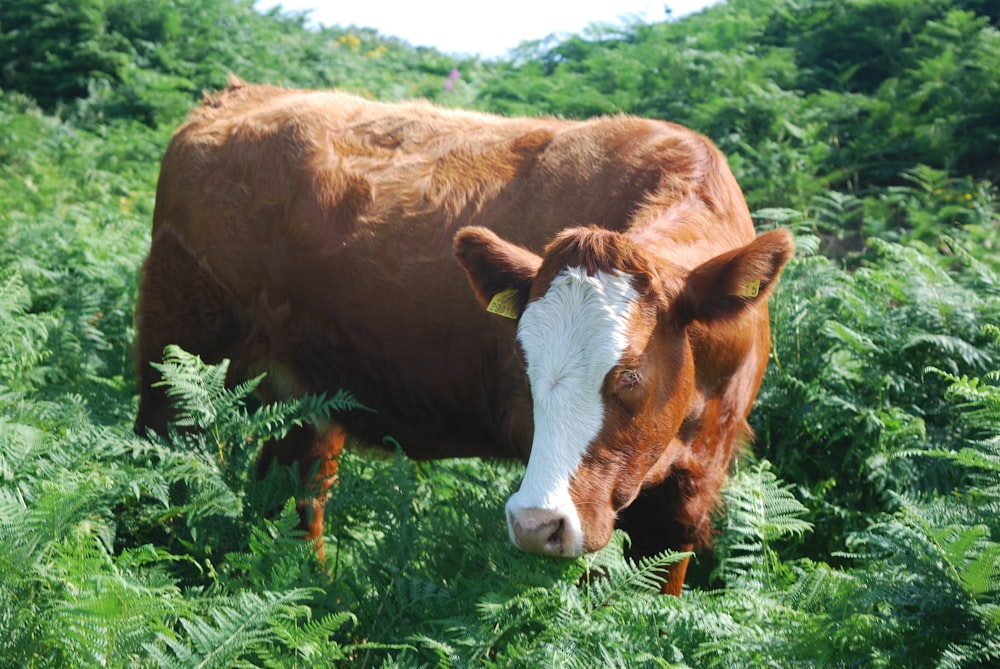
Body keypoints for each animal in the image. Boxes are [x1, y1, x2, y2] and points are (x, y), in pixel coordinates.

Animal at [133, 78, 792, 596]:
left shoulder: (695, 486)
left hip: (304, 396)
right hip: (174, 353)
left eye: (630, 376)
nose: (537, 521)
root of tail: (239, 96)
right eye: (524, 370)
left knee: (298, 490)